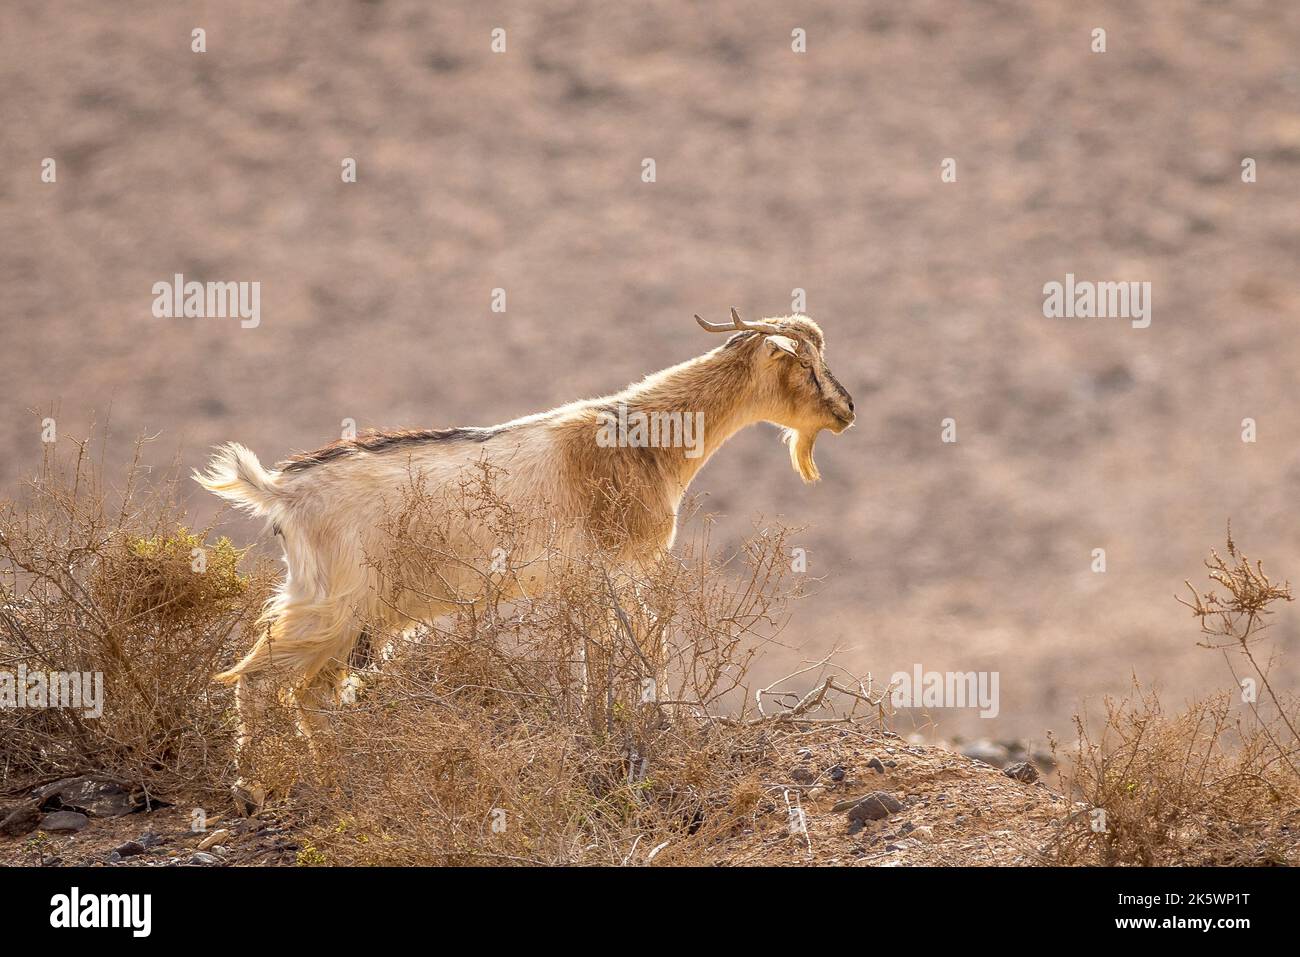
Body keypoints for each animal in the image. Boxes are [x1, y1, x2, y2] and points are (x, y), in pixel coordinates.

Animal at [195, 310, 852, 806]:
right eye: (806, 365)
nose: (846, 409)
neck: (643, 440)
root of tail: (281, 491)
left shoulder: (583, 581)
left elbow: (594, 659)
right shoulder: (622, 568)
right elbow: (646, 648)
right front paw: (657, 727)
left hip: (358, 619)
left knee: (309, 694)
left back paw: (336, 774)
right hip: (333, 603)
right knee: (257, 679)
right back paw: (251, 787)